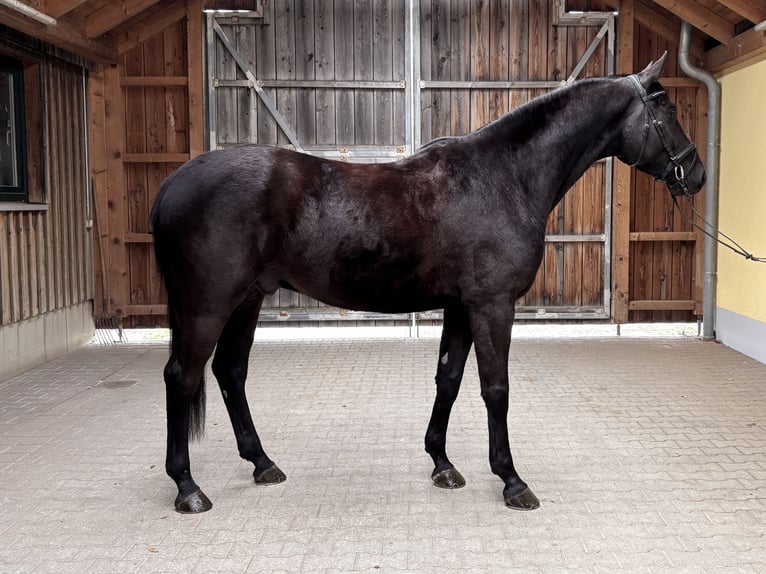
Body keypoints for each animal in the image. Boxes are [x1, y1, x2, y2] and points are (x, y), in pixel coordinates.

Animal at [150, 53, 705, 513]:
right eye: (669, 110)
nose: (696, 174)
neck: (503, 177)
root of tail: (174, 182)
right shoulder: (492, 305)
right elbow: (495, 388)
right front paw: (512, 481)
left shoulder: (461, 306)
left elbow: (449, 379)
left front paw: (443, 464)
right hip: (208, 305)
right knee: (182, 376)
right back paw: (188, 488)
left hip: (246, 300)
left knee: (230, 372)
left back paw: (262, 463)